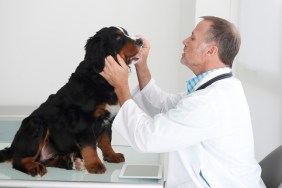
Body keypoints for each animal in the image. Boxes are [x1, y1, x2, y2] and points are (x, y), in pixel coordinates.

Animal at [0, 26, 143, 176]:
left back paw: (73, 162)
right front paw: (95, 164)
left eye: (126, 33)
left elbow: (106, 139)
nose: (140, 41)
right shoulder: (83, 119)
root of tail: (13, 146)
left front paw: (111, 155)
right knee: (19, 160)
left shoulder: (108, 119)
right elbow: (89, 145)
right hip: (37, 124)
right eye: (117, 37)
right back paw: (34, 167)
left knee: (46, 159)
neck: (101, 78)